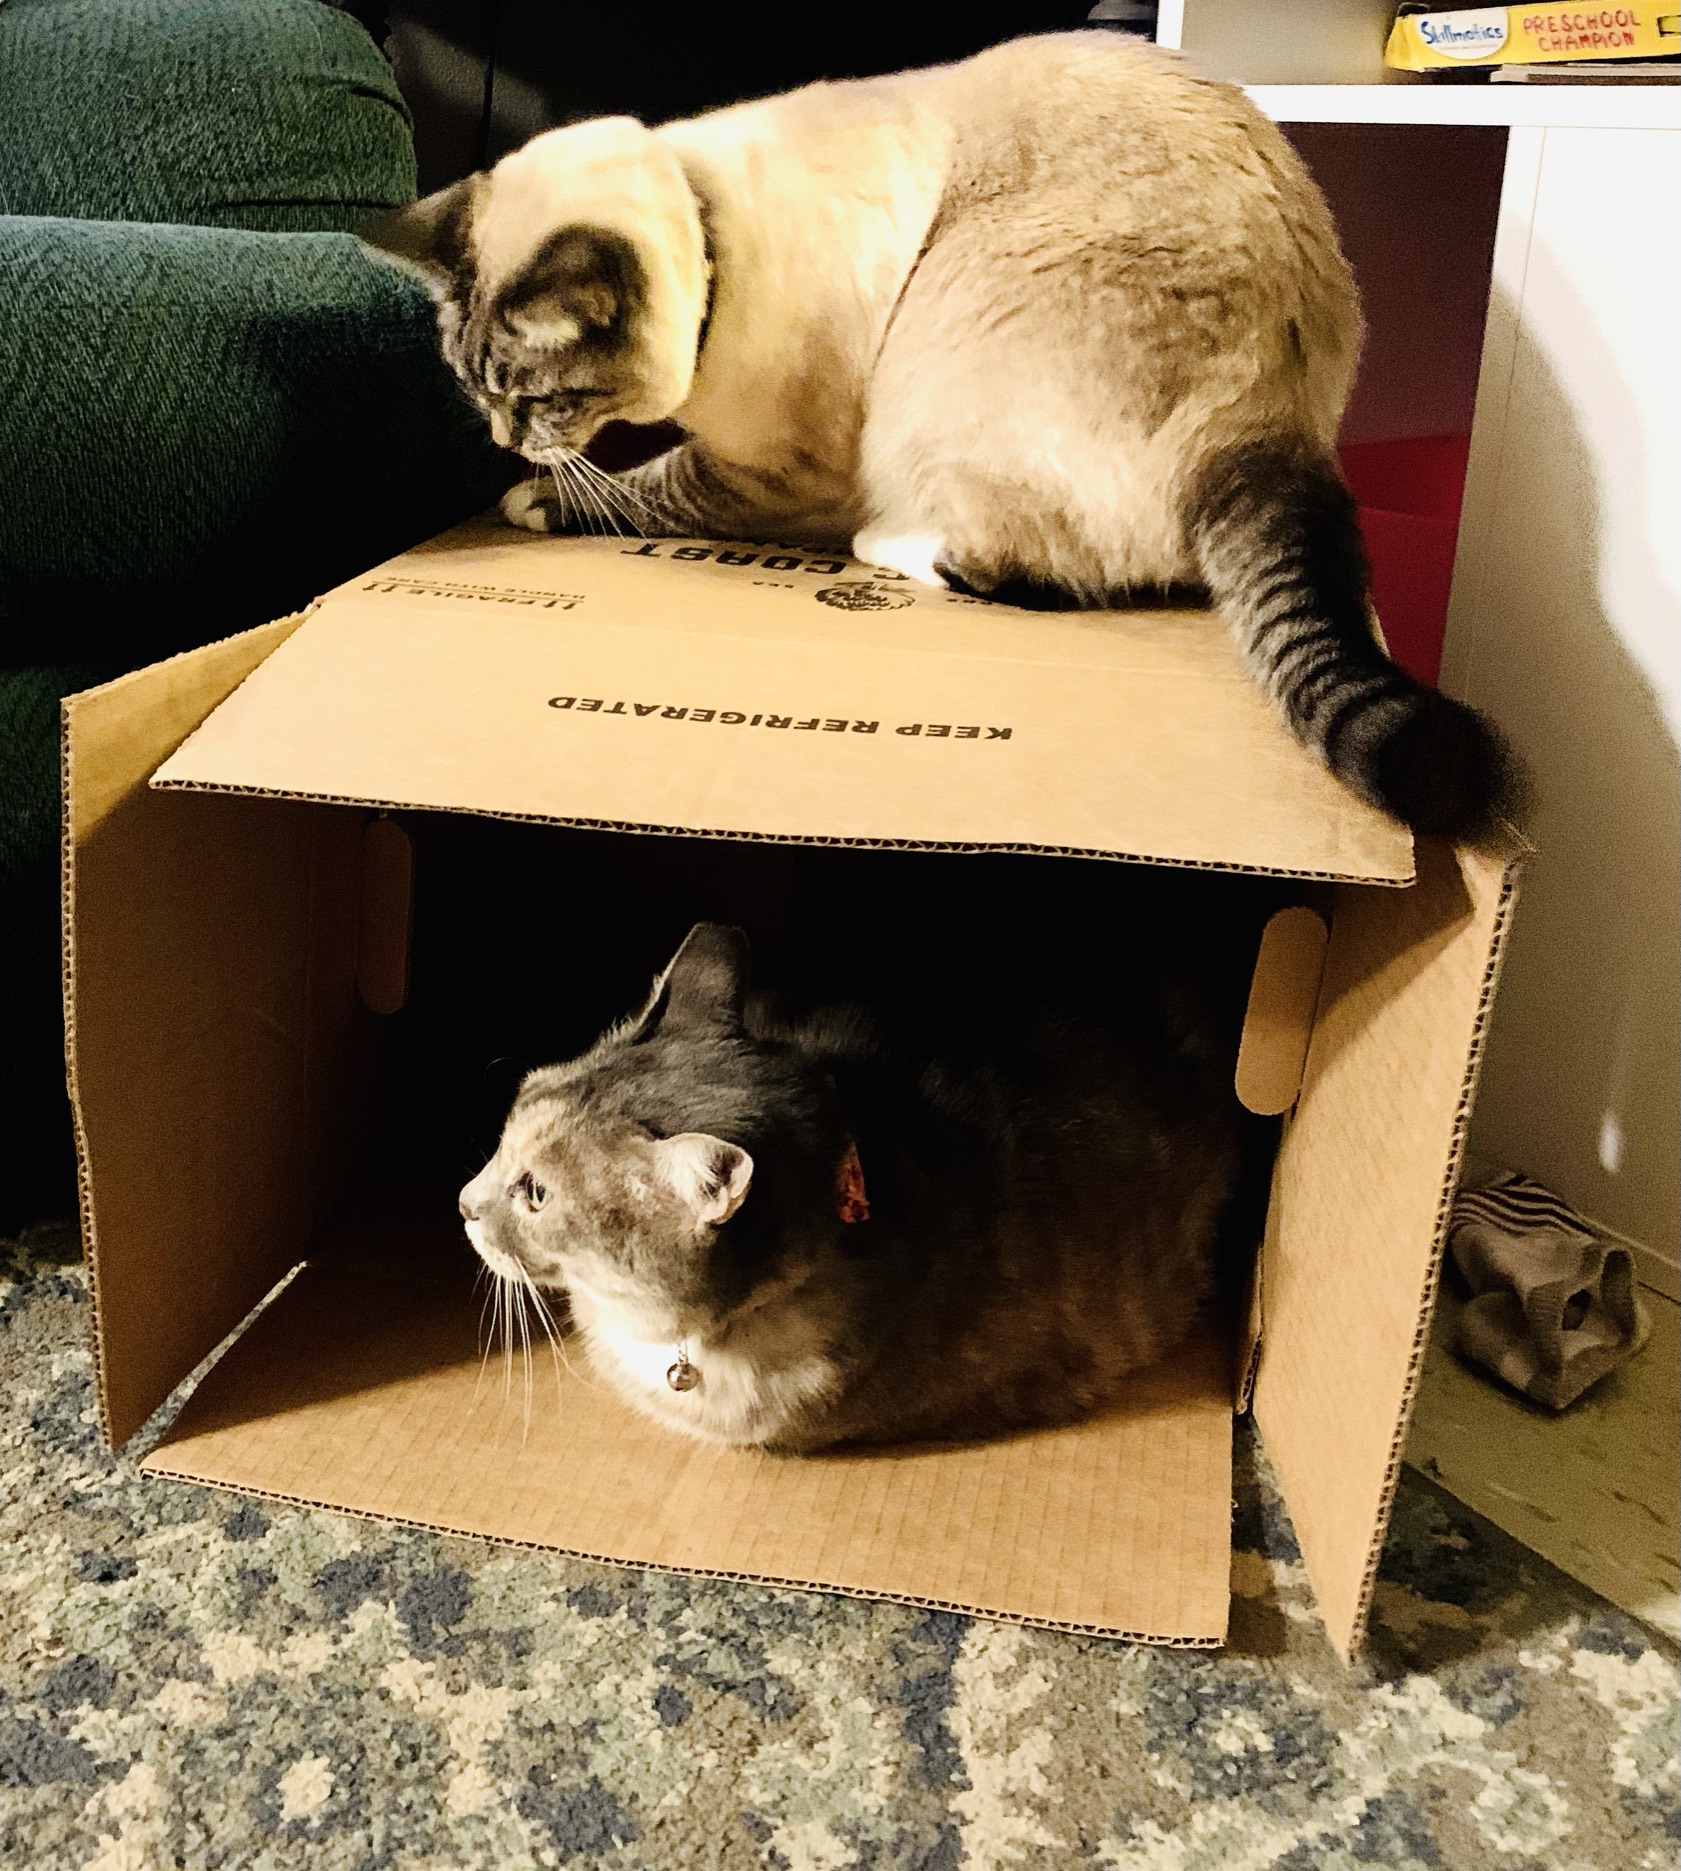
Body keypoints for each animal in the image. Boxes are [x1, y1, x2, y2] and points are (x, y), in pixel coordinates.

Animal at [363, 29, 1520, 840]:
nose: (506, 443)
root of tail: (1273, 424)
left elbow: (652, 486)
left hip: (939, 340)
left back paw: (888, 542)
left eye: (539, 402)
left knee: (1024, 565)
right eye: (474, 392)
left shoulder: (775, 472)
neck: (711, 239)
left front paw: (539, 499)